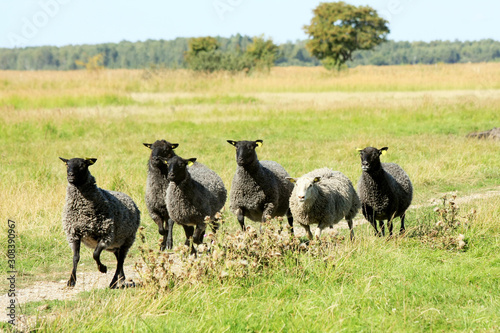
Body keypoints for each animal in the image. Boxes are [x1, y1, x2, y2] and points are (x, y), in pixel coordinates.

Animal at [62, 157, 143, 286]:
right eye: (67, 164)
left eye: (82, 165)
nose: (70, 175)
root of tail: (132, 201)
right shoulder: (73, 234)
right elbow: (76, 257)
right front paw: (71, 281)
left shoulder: (106, 235)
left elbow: (95, 254)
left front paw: (103, 268)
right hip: (115, 245)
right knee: (119, 259)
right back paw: (120, 279)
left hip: (127, 239)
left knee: (120, 260)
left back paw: (113, 283)